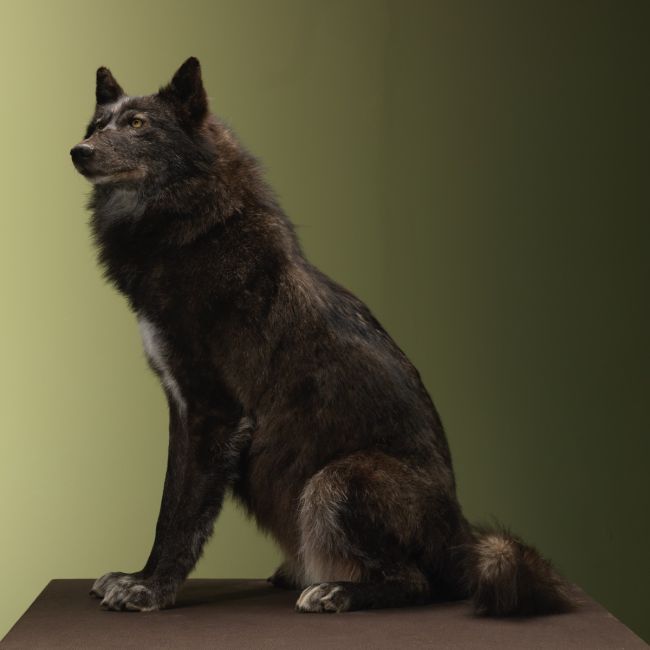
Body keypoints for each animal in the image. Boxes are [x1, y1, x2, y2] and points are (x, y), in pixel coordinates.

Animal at [70, 57, 575, 615]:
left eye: (137, 124)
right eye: (97, 125)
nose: (78, 150)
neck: (197, 227)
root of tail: (462, 540)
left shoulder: (214, 413)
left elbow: (180, 514)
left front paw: (151, 588)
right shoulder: (183, 410)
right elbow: (167, 505)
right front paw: (141, 577)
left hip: (337, 479)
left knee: (417, 581)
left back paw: (338, 589)